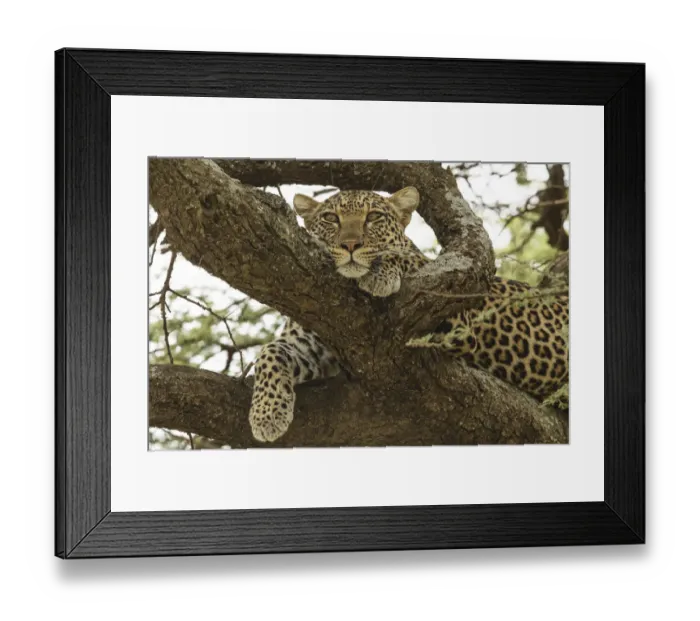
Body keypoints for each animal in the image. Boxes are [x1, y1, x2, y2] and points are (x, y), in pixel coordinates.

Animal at [249, 186, 569, 443]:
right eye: (330, 219)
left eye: (374, 217)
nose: (350, 245)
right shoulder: (311, 343)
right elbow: (269, 352)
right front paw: (266, 414)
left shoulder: (456, 320)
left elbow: (410, 257)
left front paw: (380, 272)